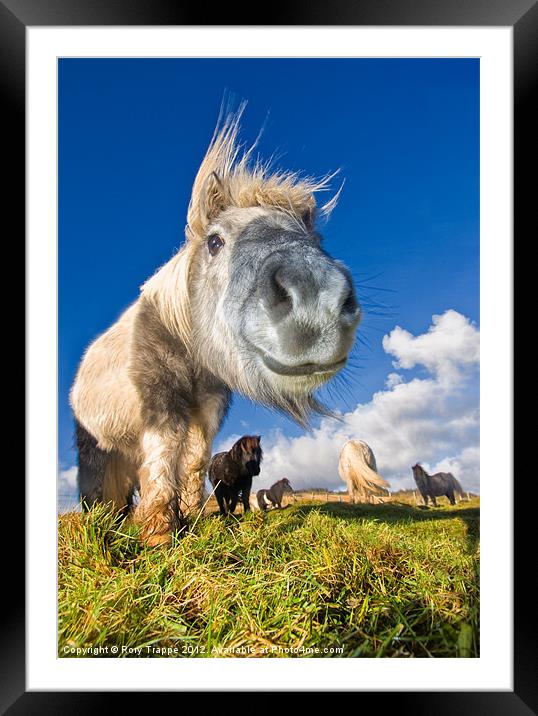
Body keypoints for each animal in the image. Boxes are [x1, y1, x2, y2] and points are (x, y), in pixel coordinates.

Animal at [69, 103, 358, 544]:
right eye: (215, 242)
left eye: (316, 242)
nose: (315, 303)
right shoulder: (161, 406)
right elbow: (163, 458)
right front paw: (160, 533)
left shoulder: (206, 411)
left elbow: (193, 461)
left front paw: (192, 517)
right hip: (96, 445)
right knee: (97, 483)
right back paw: (102, 524)